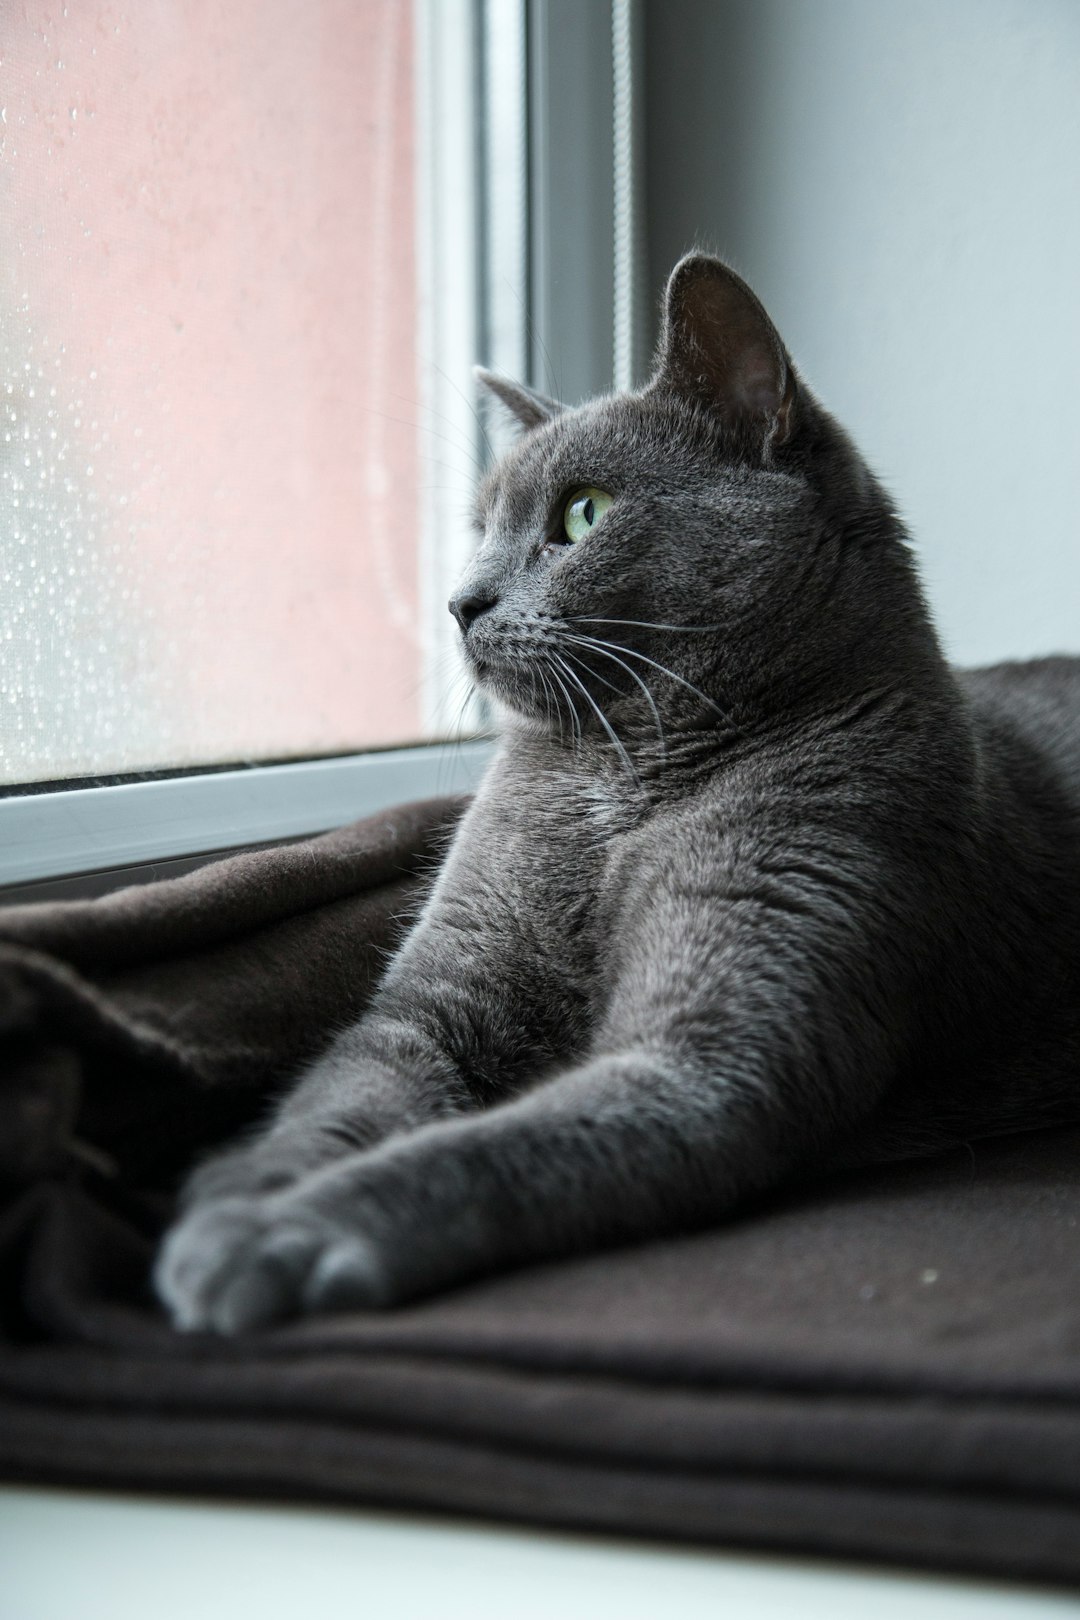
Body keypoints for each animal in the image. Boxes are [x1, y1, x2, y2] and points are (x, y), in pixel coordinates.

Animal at [153, 259, 1080, 1334]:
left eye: (584, 513)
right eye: (481, 528)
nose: (460, 602)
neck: (618, 784)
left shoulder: (716, 1047)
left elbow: (486, 1151)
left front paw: (275, 1237)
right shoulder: (435, 996)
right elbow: (345, 1093)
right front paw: (247, 1186)